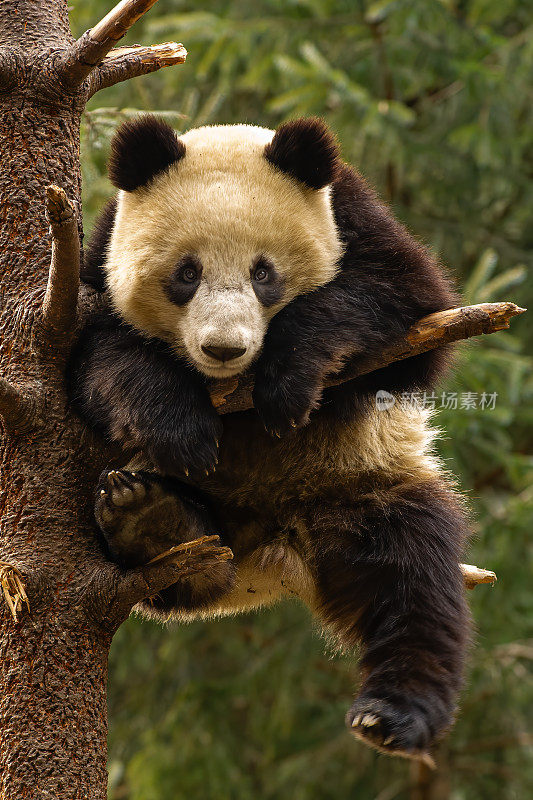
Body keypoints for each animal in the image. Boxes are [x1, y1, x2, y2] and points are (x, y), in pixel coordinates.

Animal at [67, 117, 470, 764]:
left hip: (361, 475)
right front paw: (181, 430)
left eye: (264, 273)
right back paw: (151, 519)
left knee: (414, 579)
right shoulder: (99, 262)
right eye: (186, 273)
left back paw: (391, 715)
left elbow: (407, 311)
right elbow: (102, 359)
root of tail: (274, 551)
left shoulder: (355, 220)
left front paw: (287, 383)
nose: (224, 348)